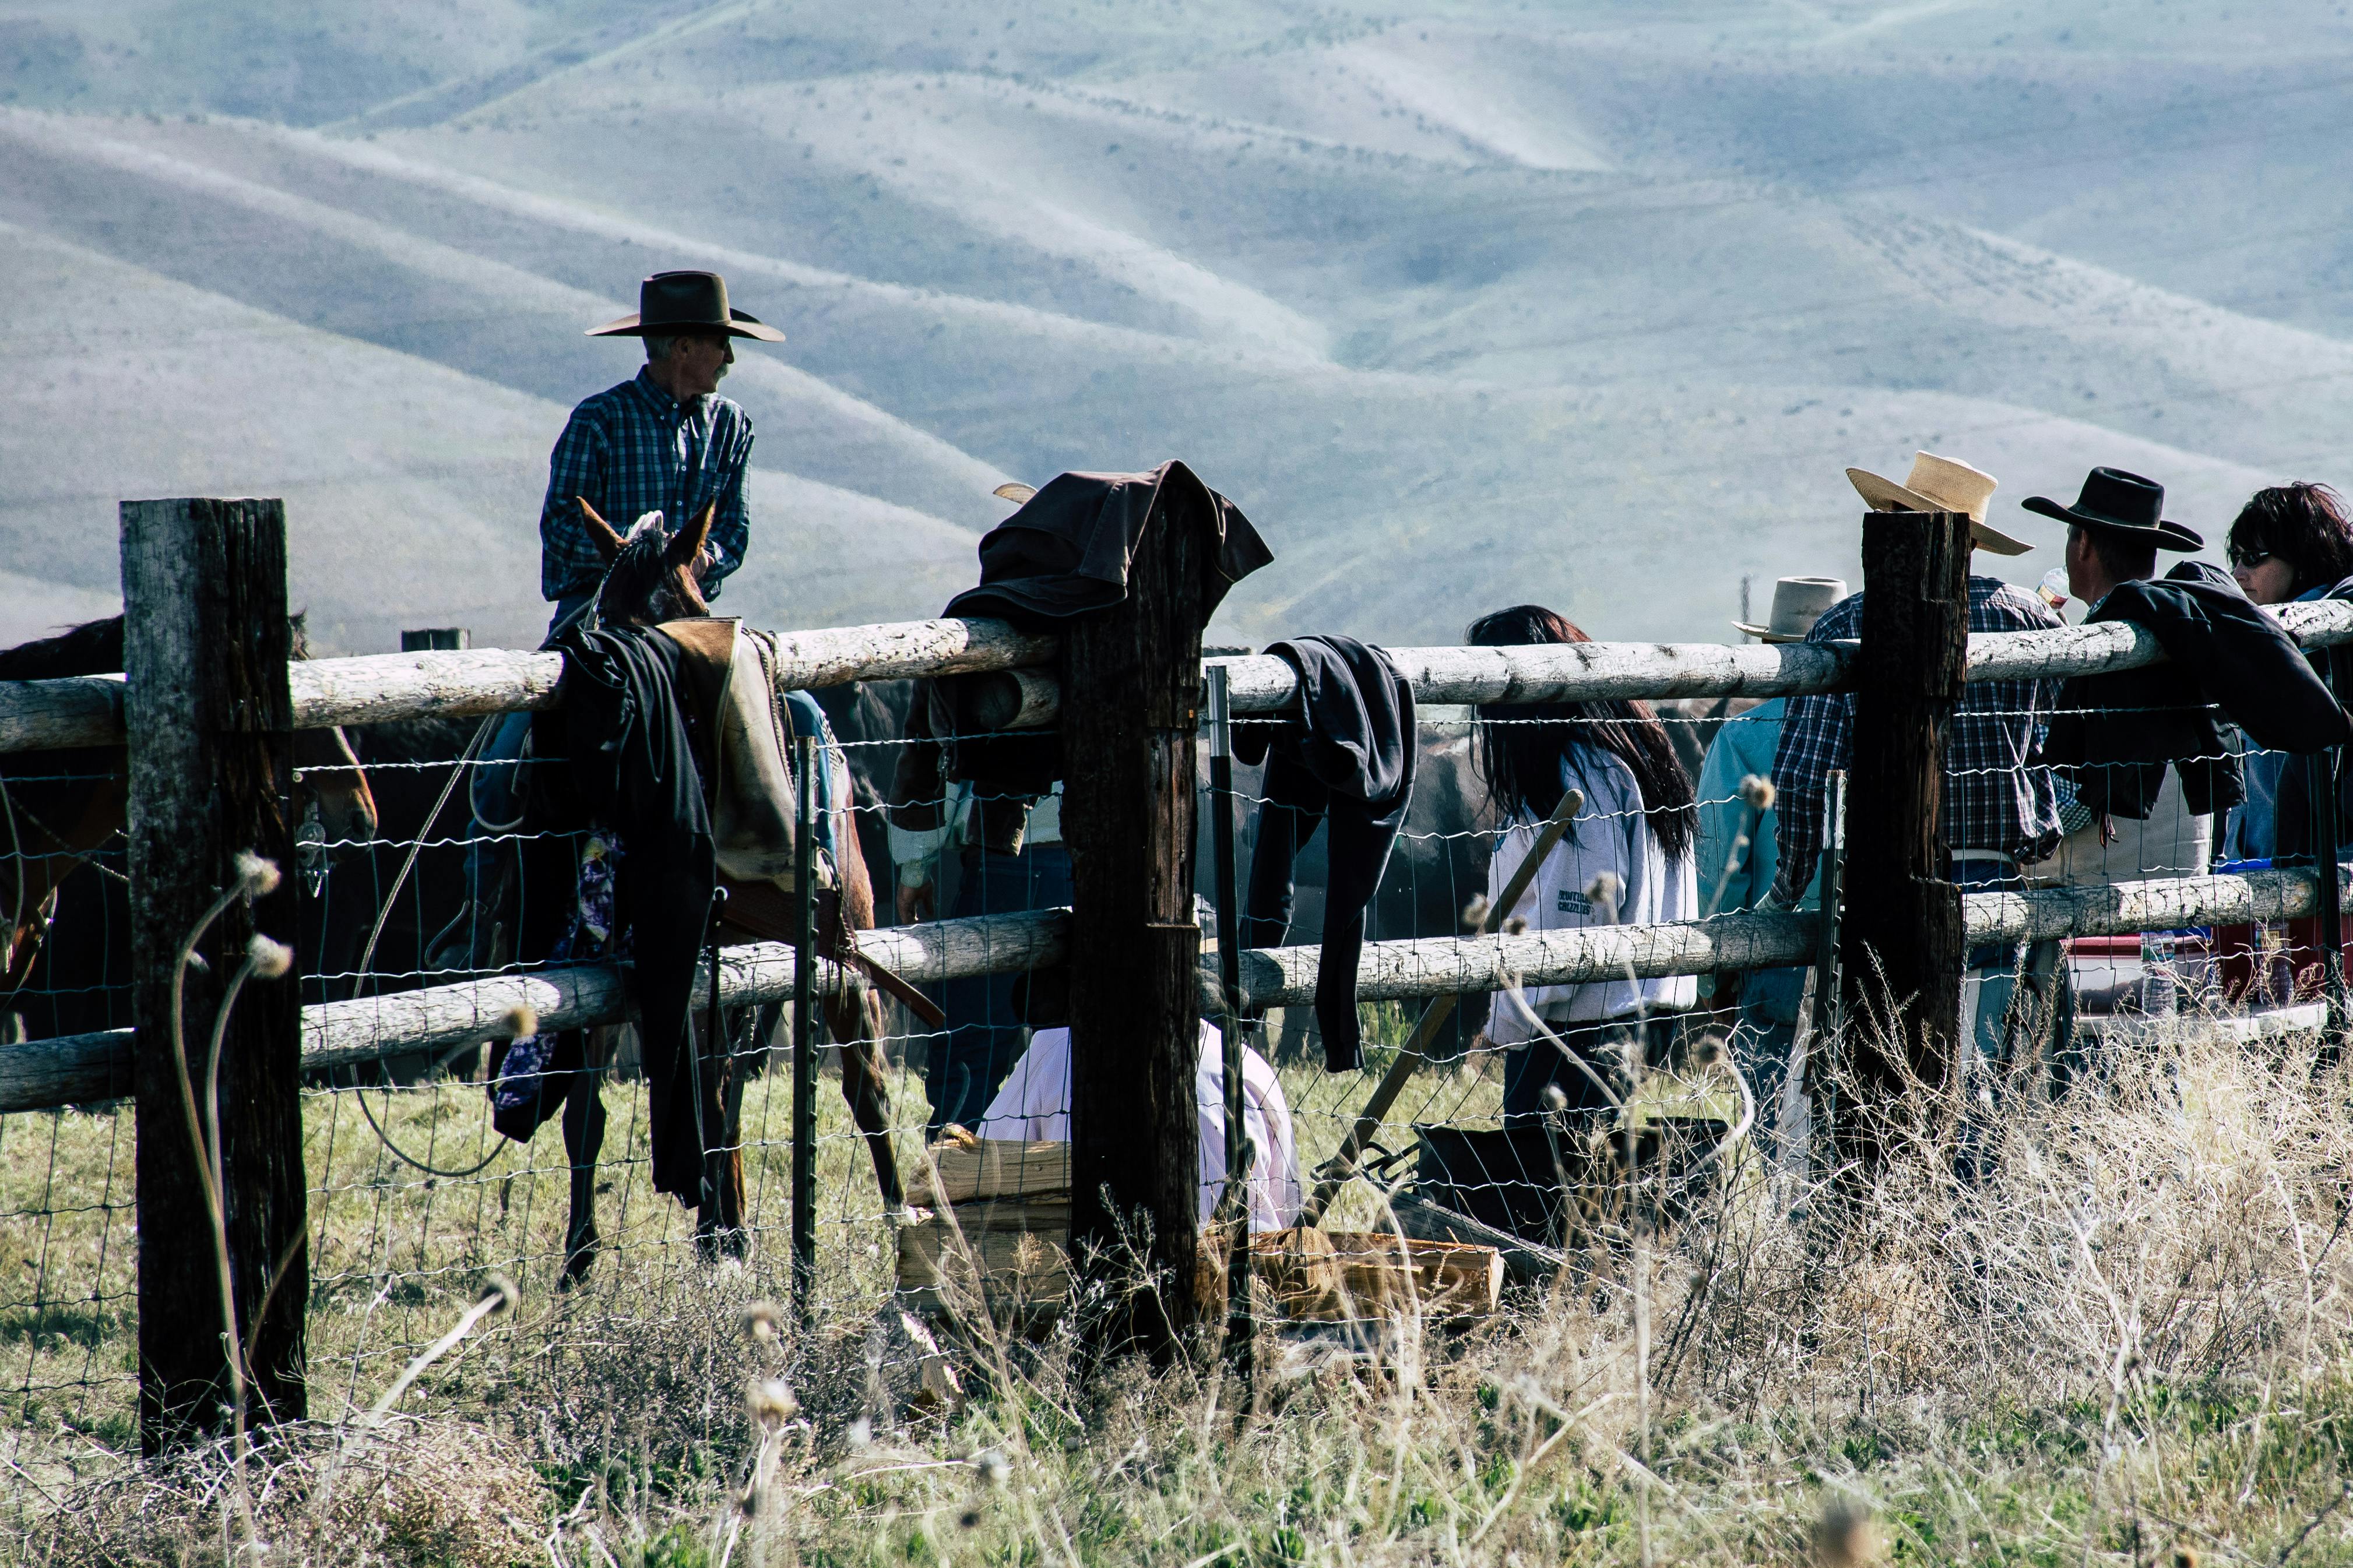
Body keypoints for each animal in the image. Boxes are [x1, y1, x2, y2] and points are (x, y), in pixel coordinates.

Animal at [560, 503, 908, 1278]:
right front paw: (578, 1257)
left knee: (864, 1088)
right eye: (606, 613)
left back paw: (900, 1221)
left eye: (680, 610)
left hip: (843, 959)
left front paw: (725, 1235)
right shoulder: (607, 971)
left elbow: (715, 1092)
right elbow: (587, 1113)